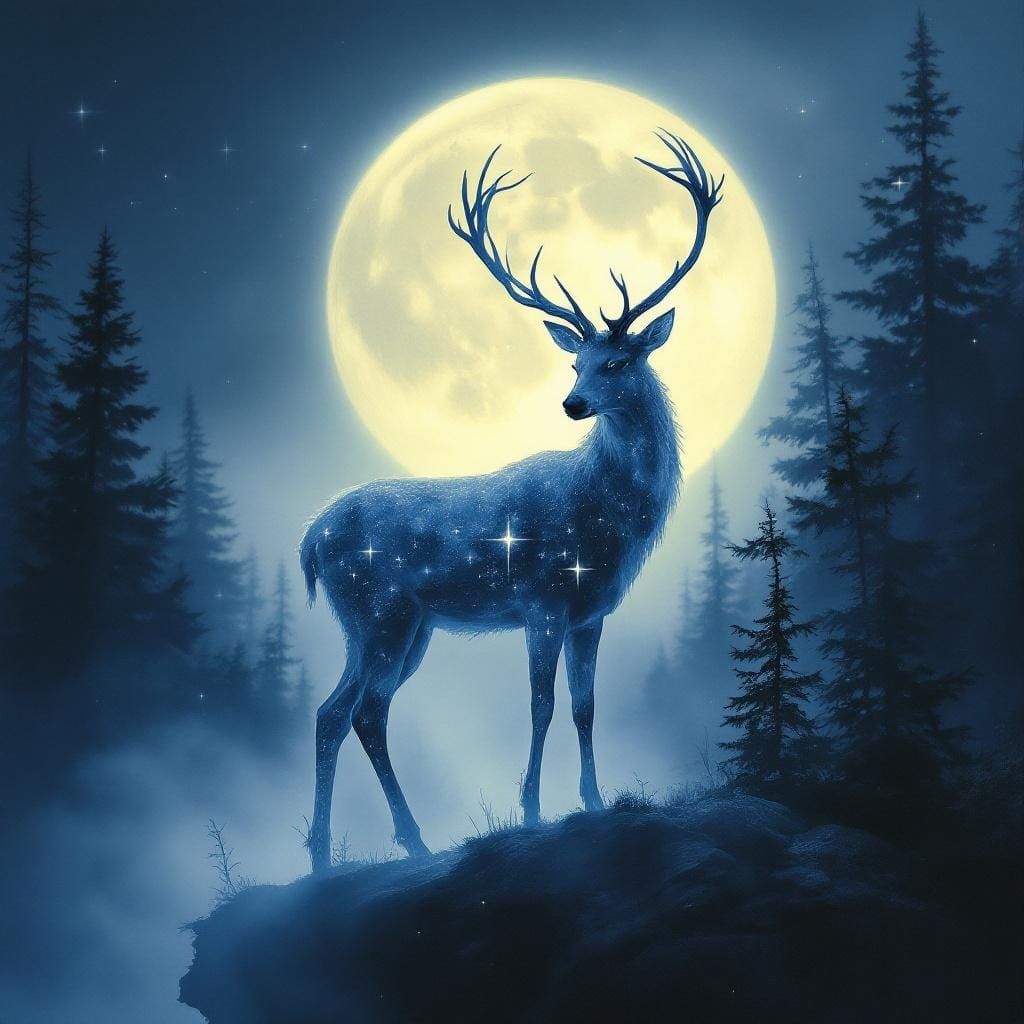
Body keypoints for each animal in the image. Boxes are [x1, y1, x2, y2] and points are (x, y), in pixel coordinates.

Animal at [300, 131, 722, 871]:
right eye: (575, 362)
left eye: (617, 362)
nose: (572, 403)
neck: (609, 520)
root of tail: (308, 540)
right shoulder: (543, 601)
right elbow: (541, 705)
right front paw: (529, 807)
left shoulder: (590, 613)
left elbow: (585, 707)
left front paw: (592, 798)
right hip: (382, 610)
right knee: (365, 712)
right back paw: (411, 838)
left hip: (390, 625)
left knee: (332, 712)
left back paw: (322, 853)